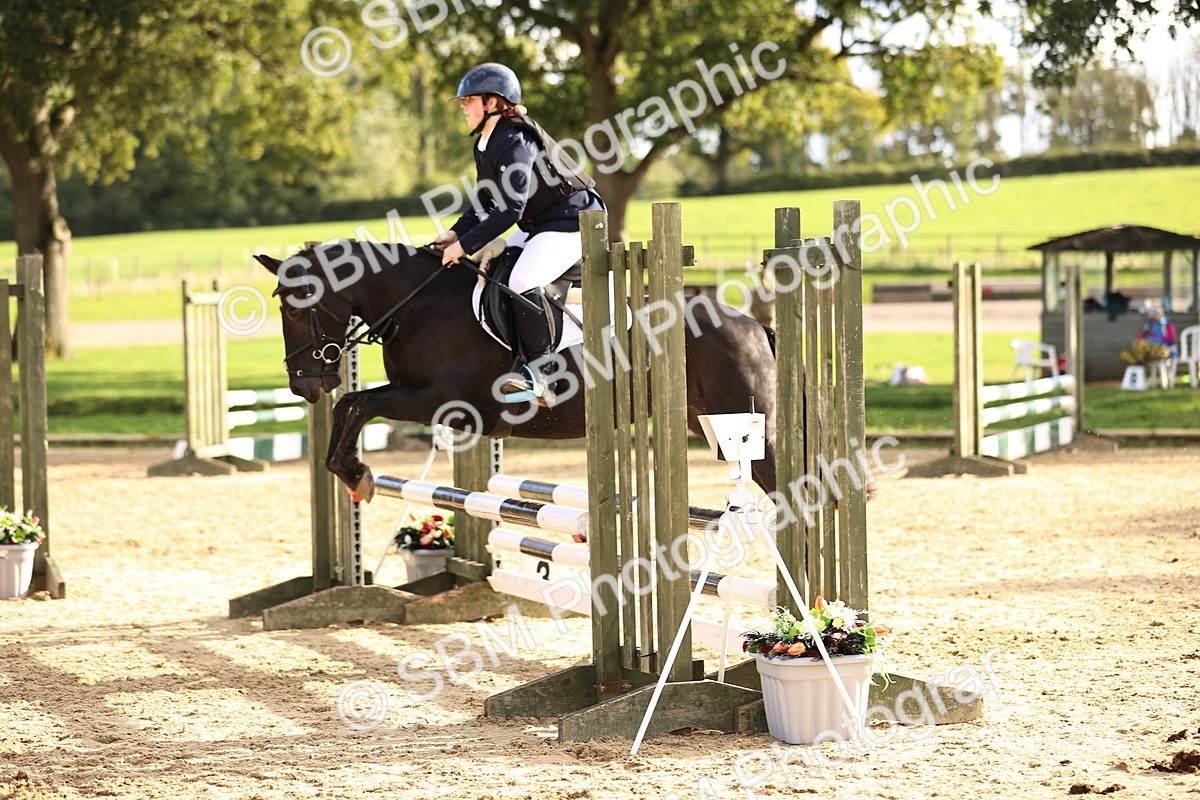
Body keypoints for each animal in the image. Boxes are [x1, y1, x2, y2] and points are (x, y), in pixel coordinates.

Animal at [254, 240, 780, 502]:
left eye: (295, 309)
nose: (303, 385)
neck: (421, 303)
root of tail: (754, 325)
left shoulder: (445, 402)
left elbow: (357, 402)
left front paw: (357, 473)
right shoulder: (410, 391)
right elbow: (349, 405)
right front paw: (352, 472)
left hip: (750, 425)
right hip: (706, 424)